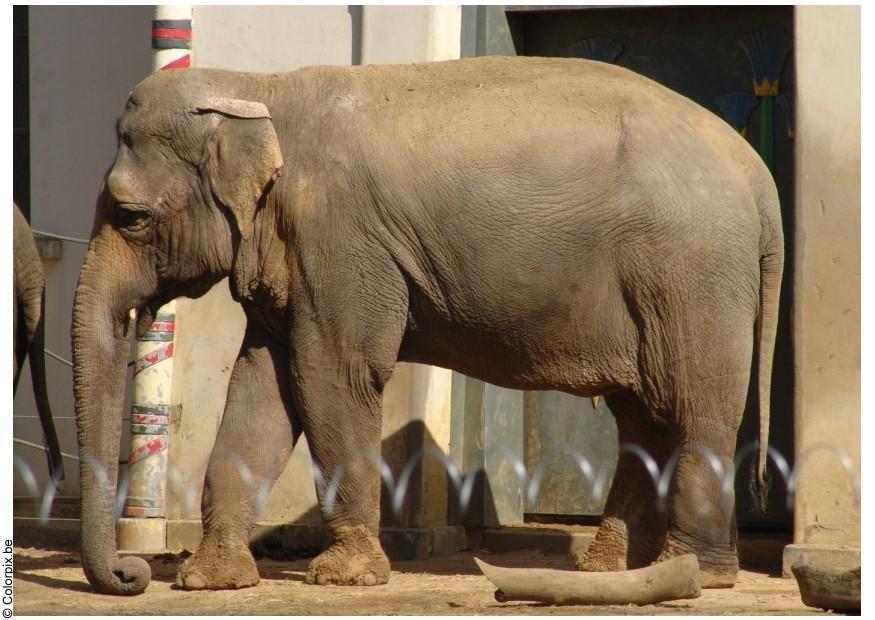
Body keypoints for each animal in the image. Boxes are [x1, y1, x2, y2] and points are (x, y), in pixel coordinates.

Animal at [71, 55, 783, 596]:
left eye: (131, 216)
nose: (133, 573)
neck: (259, 86)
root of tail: (757, 174)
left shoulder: (340, 241)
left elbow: (333, 375)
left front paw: (346, 577)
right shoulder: (292, 259)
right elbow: (261, 389)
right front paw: (211, 579)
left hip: (691, 273)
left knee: (694, 407)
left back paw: (695, 573)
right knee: (643, 415)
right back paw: (609, 569)